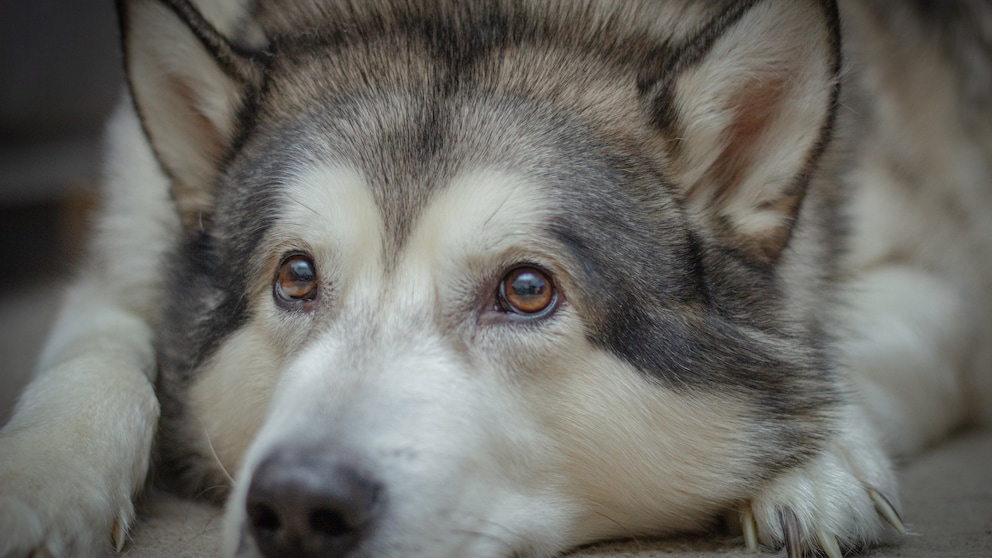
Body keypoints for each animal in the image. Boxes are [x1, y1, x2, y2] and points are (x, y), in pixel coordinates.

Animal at [1, 0, 992, 556]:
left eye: (525, 290)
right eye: (296, 276)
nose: (299, 507)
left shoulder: (944, 287)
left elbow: (844, 345)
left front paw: (822, 464)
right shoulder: (121, 251)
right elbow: (96, 358)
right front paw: (35, 486)